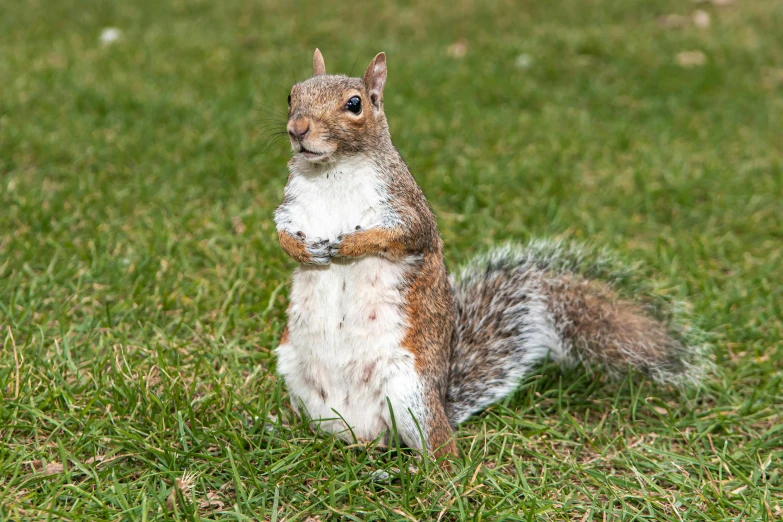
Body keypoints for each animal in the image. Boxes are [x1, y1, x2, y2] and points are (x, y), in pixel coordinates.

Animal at [272, 47, 708, 456]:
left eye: (355, 104)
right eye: (291, 94)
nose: (297, 129)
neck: (331, 171)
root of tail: (361, 428)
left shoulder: (406, 209)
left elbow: (401, 236)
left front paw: (350, 244)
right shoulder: (291, 207)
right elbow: (281, 234)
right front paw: (306, 251)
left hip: (411, 394)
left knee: (441, 447)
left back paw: (437, 474)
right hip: (296, 375)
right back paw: (285, 428)